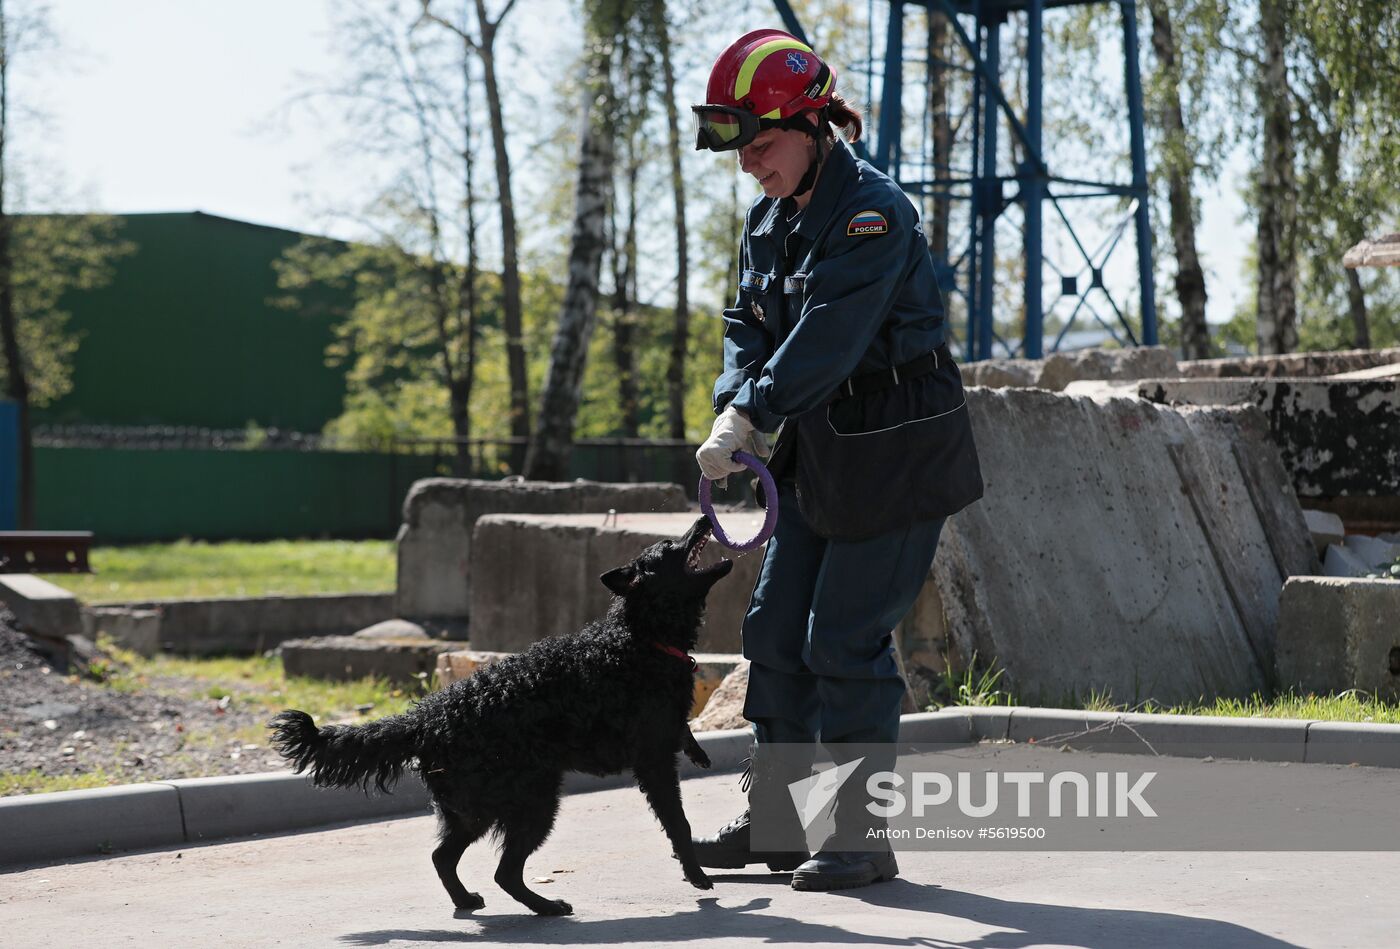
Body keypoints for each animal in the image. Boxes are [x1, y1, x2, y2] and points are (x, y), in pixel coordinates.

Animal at [270, 517, 733, 918]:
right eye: (670, 546)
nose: (703, 520)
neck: (639, 639)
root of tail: (425, 719)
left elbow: (683, 737)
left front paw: (698, 751)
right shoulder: (654, 762)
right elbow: (679, 823)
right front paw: (696, 876)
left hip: (472, 810)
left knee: (444, 857)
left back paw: (468, 900)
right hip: (529, 801)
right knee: (504, 872)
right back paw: (547, 907)